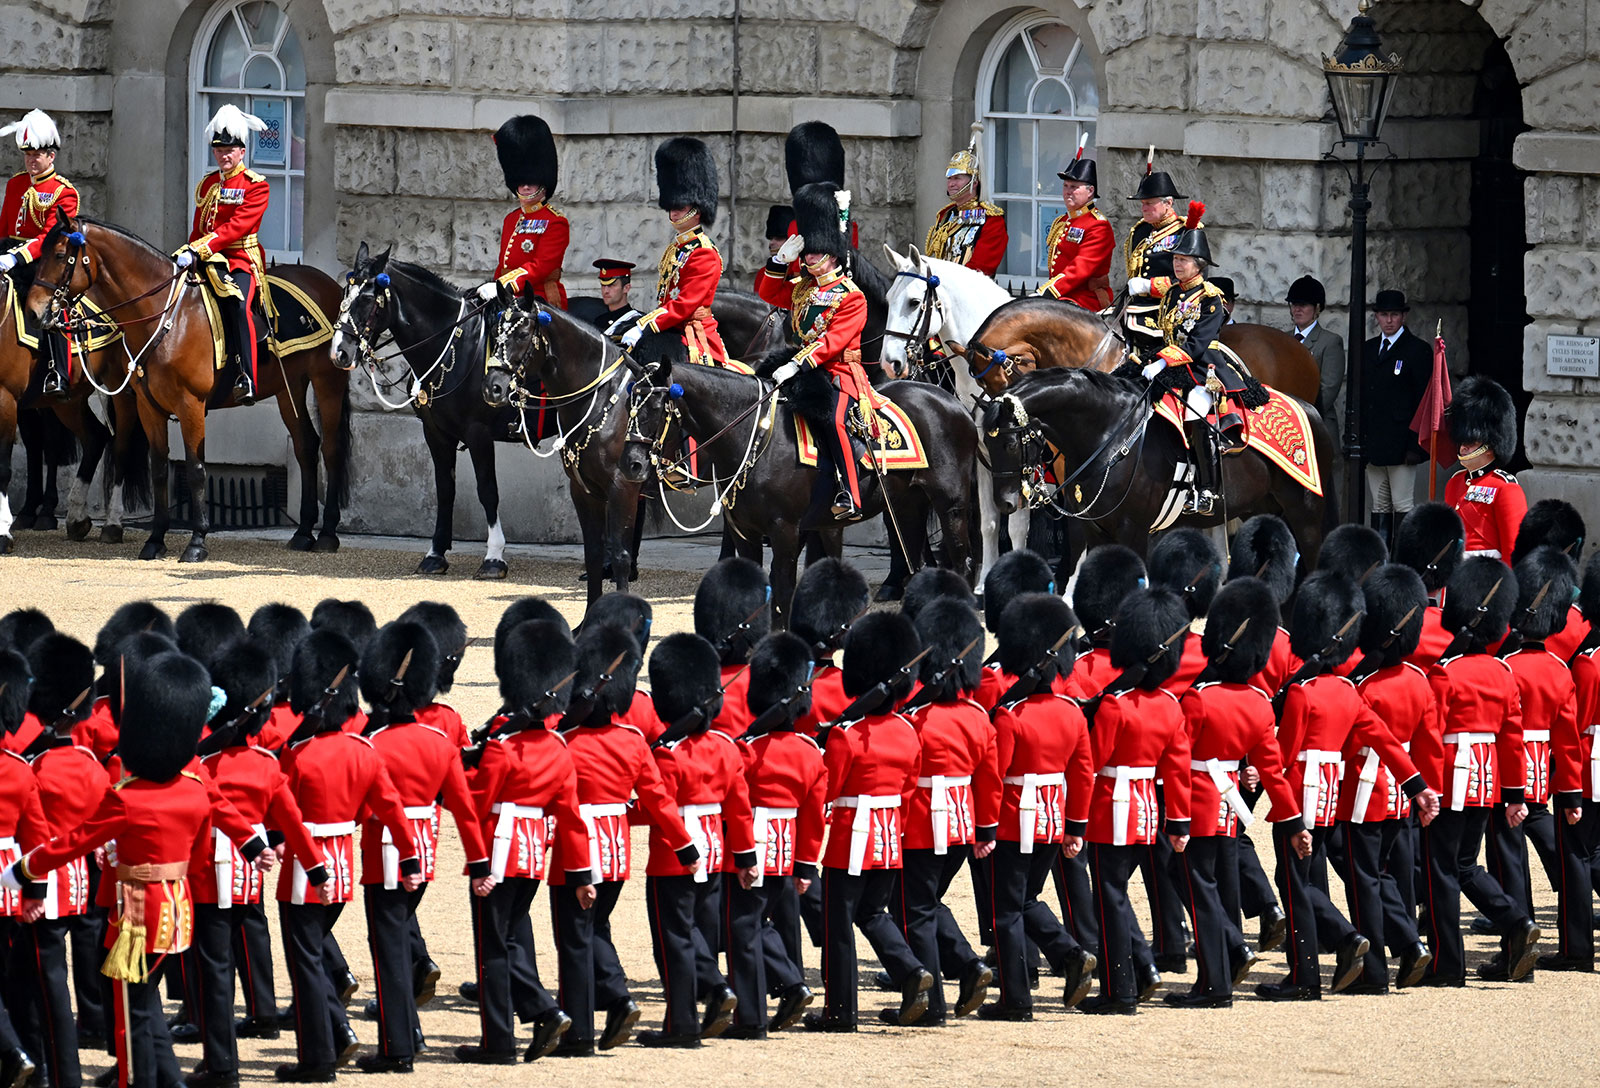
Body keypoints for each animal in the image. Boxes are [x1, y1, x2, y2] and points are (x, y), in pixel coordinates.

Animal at [25, 216, 352, 566]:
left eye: (60, 255)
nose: (33, 312)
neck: (167, 317)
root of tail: (327, 283)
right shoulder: (149, 407)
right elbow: (158, 470)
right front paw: (155, 540)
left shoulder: (190, 405)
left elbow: (196, 470)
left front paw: (197, 542)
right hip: (288, 386)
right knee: (306, 445)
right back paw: (303, 532)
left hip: (327, 381)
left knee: (331, 449)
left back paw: (327, 534)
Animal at [620, 356, 972, 630]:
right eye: (628, 404)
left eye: (656, 406)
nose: (631, 465)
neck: (756, 435)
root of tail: (951, 399)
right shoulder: (747, 534)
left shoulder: (785, 530)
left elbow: (784, 589)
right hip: (907, 505)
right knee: (917, 563)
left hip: (950, 505)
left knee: (959, 560)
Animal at [972, 368, 1337, 579]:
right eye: (985, 444)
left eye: (1009, 443)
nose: (1004, 503)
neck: (1109, 434)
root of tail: (1309, 407)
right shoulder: (1096, 530)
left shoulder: (1134, 530)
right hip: (1264, 510)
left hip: (1305, 512)